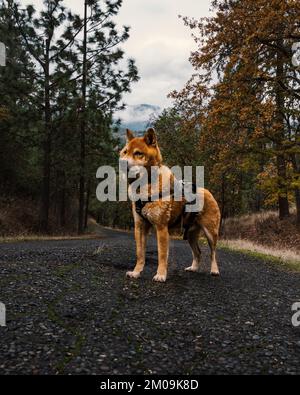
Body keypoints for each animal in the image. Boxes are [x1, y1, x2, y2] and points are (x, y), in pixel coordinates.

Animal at [119, 128, 220, 284]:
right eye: (125, 152)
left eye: (138, 153)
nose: (122, 163)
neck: (146, 186)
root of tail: (208, 192)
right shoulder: (140, 227)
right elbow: (140, 254)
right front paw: (136, 273)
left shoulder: (161, 228)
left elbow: (162, 255)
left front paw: (160, 275)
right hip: (190, 234)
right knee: (197, 252)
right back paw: (193, 268)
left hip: (211, 232)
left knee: (213, 253)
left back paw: (214, 270)